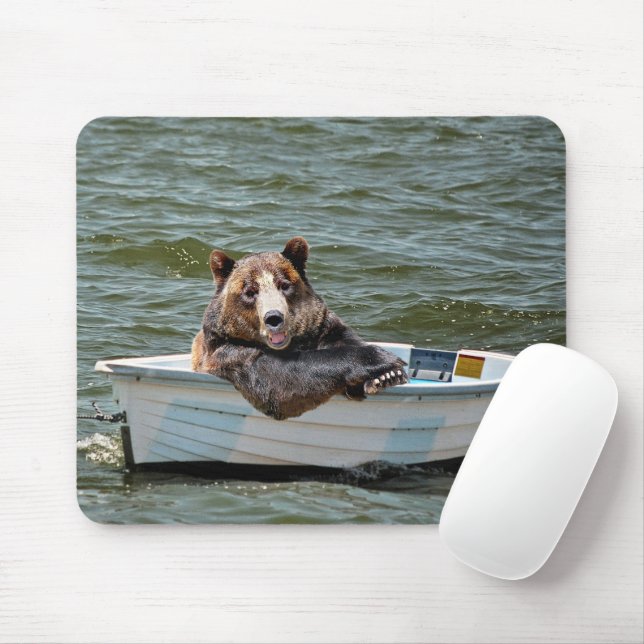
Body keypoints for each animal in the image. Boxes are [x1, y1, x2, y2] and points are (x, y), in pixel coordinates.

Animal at [191, 236, 408, 420]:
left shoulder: (321, 327)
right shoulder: (230, 352)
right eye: (250, 291)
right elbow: (281, 379)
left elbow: (344, 338)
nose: (274, 318)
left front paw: (387, 376)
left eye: (284, 284)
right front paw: (382, 358)